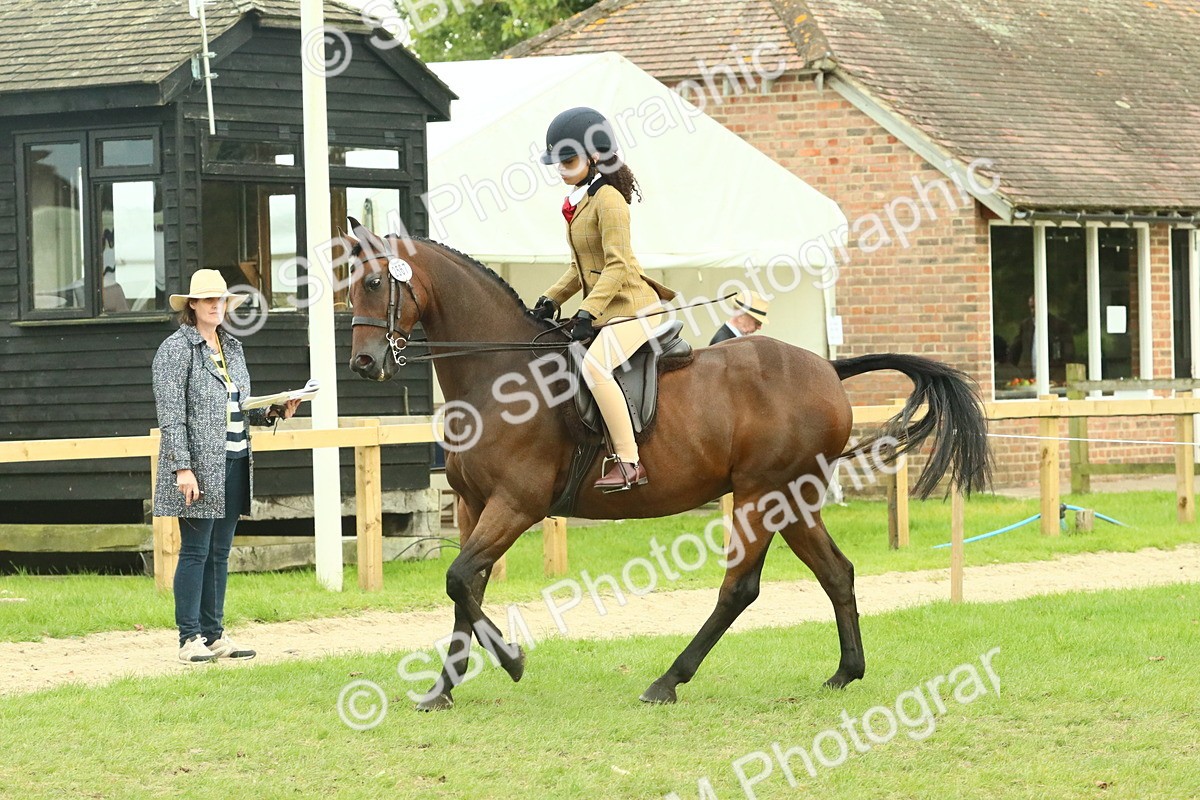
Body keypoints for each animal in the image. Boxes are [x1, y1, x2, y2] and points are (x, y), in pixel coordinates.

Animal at [345, 221, 991, 711]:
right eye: (346, 287)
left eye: (375, 282)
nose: (363, 363)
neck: (498, 374)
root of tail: (827, 369)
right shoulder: (472, 504)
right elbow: (464, 588)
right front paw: (442, 689)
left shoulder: (516, 505)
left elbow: (459, 579)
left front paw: (513, 660)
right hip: (793, 498)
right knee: (836, 572)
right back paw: (845, 672)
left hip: (761, 495)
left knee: (740, 587)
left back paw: (667, 680)